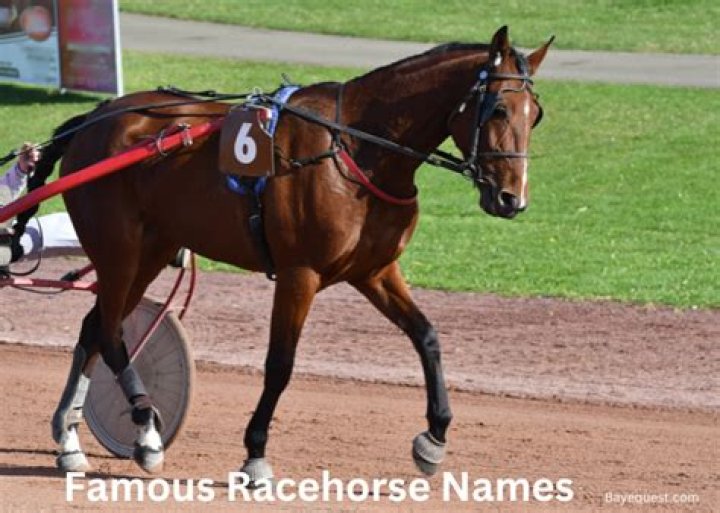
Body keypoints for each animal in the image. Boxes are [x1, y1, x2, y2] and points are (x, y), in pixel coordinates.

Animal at [26, 26, 551, 482]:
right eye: (498, 109)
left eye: (537, 114)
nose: (512, 199)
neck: (356, 148)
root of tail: (95, 120)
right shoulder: (301, 273)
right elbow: (280, 364)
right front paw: (255, 453)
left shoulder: (375, 270)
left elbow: (427, 337)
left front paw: (434, 438)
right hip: (119, 249)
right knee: (111, 332)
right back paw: (146, 432)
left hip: (152, 249)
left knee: (95, 327)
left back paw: (70, 441)